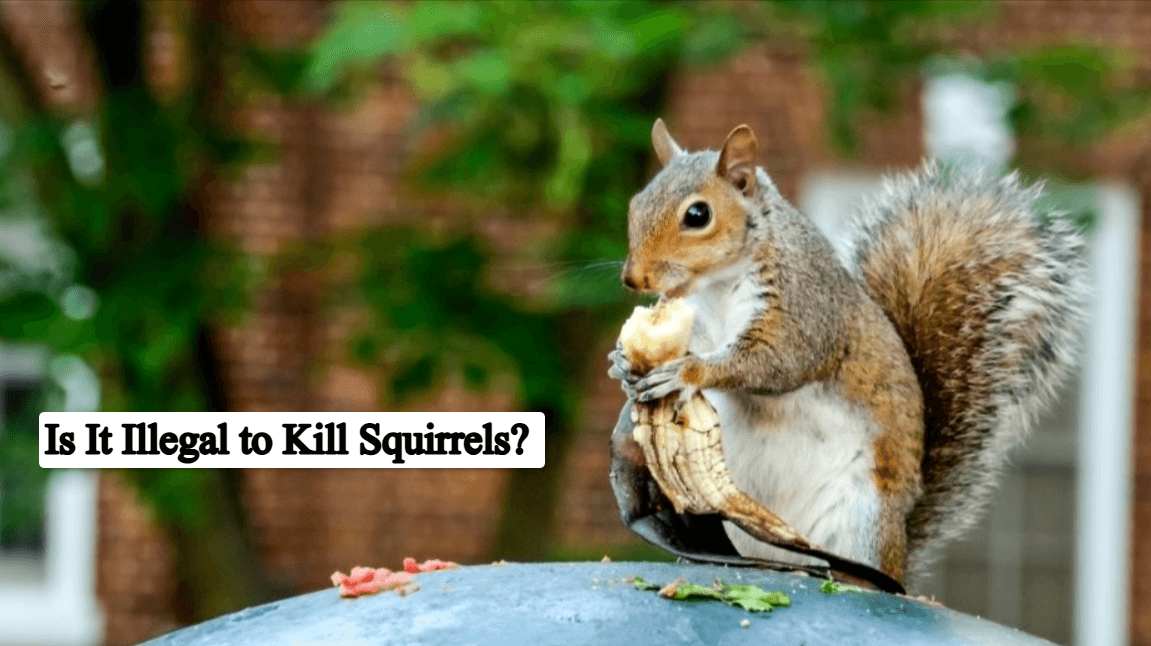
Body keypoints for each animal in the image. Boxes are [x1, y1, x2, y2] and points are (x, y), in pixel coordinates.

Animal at [607, 118, 1088, 586]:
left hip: (861, 518)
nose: (633, 278)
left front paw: (687, 372)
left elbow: (777, 362)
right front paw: (622, 363)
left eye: (698, 215)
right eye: (635, 203)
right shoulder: (703, 322)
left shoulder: (806, 307)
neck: (717, 287)